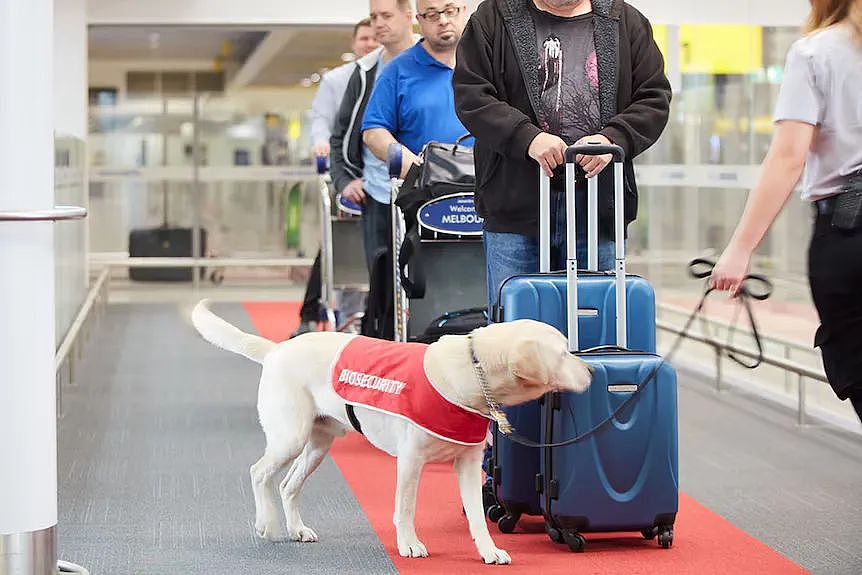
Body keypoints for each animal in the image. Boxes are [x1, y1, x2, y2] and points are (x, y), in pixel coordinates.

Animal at [192, 302, 592, 568]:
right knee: (259, 473)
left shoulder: (467, 463)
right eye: (563, 353)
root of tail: (278, 349)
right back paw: (268, 523)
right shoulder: (411, 460)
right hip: (290, 437)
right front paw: (409, 544)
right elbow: (406, 507)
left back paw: (297, 529)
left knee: (289, 485)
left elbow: (478, 516)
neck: (472, 372)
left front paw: (488, 550)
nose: (590, 369)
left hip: (318, 444)